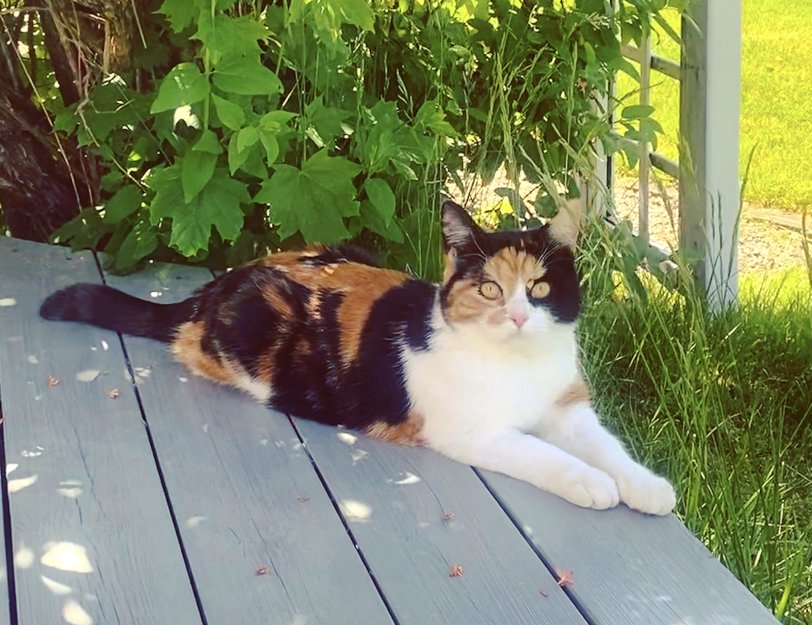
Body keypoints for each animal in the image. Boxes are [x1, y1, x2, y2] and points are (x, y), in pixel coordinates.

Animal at [39, 199, 676, 515]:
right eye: (490, 289)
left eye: (540, 287)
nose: (519, 316)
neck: (519, 370)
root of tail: (217, 284)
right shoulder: (473, 432)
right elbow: (548, 455)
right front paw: (593, 484)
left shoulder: (570, 409)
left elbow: (609, 449)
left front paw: (646, 488)